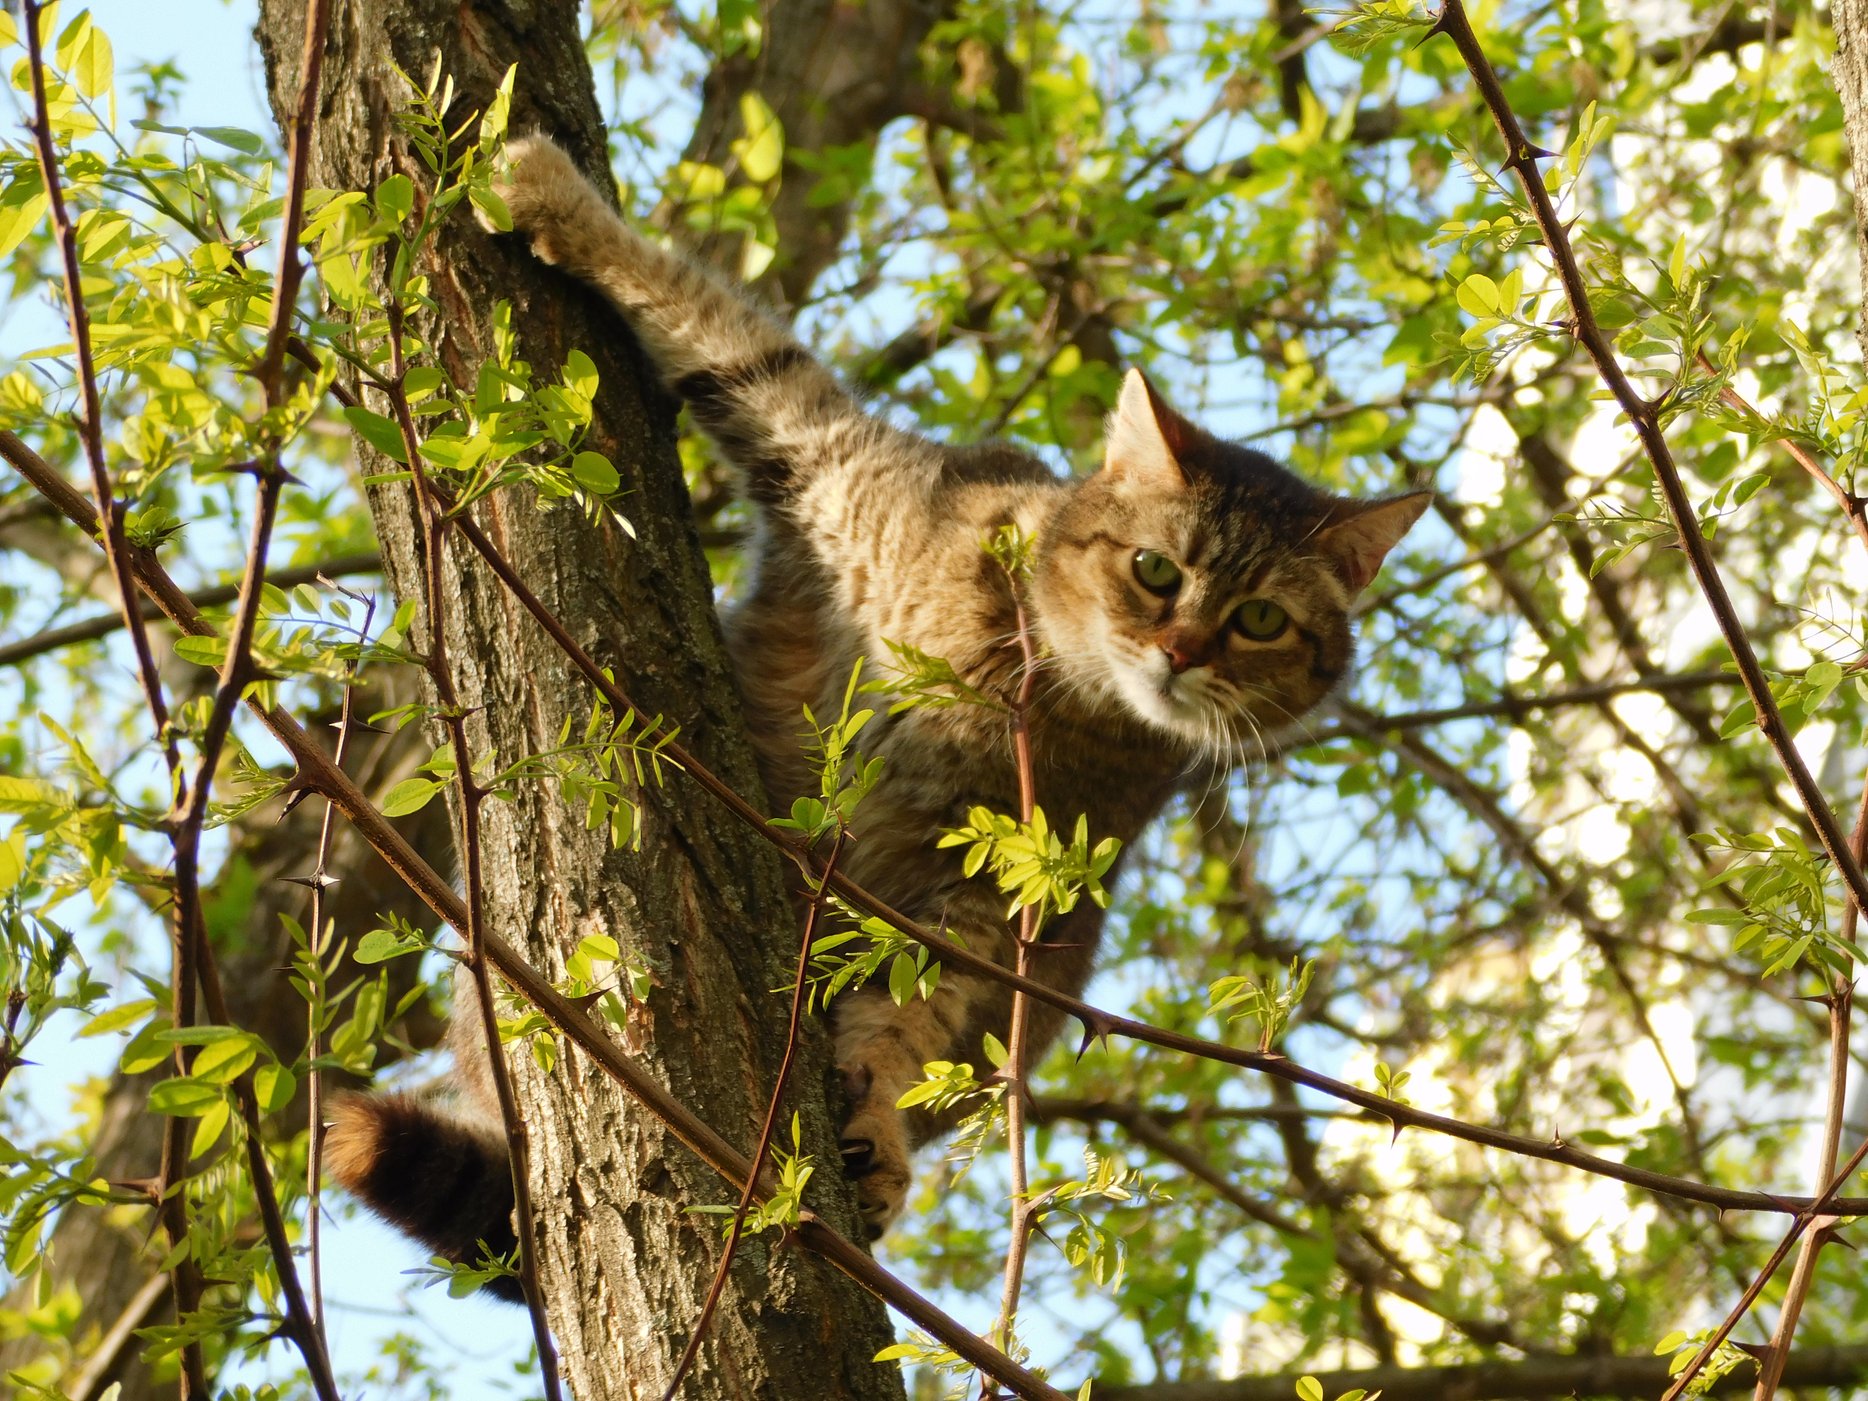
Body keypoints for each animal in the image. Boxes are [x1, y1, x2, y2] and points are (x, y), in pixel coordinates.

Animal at [325, 134, 1427, 1285]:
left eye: (1258, 620)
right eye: (1154, 570)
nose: (1179, 653)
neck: (1019, 685)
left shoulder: (980, 899)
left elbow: (907, 1015)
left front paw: (878, 1122)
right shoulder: (820, 451)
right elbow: (720, 324)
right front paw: (555, 197)